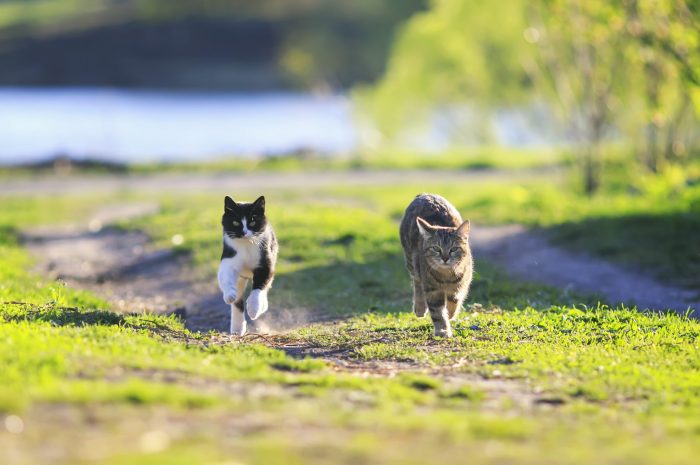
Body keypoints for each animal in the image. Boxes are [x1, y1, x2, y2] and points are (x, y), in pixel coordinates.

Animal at [217, 194, 278, 336]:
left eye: (252, 222)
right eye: (235, 222)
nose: (244, 233)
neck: (246, 245)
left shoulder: (265, 263)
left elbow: (259, 286)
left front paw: (254, 309)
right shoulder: (229, 257)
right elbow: (225, 276)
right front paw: (229, 295)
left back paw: (262, 307)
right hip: (240, 278)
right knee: (238, 301)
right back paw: (237, 329)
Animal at [396, 193, 474, 338]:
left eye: (454, 249)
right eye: (436, 248)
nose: (445, 258)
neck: (447, 276)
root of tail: (425, 194)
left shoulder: (462, 284)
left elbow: (454, 300)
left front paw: (450, 314)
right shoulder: (433, 291)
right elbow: (438, 313)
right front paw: (442, 330)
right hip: (412, 262)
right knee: (417, 283)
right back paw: (420, 308)